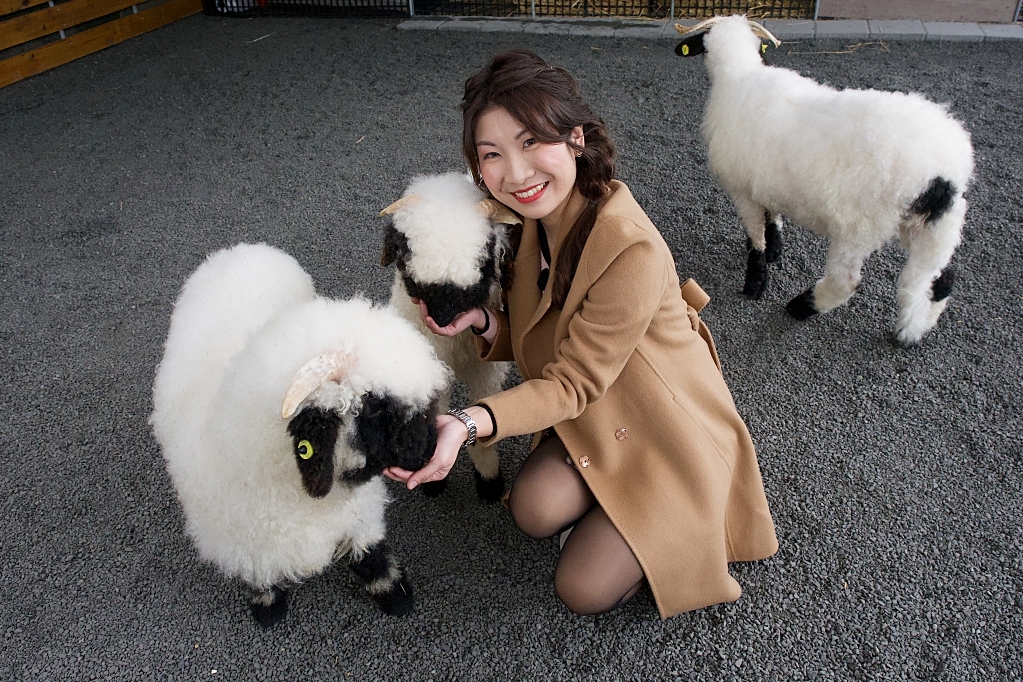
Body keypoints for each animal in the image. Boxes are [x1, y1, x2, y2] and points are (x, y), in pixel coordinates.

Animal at [150, 244, 448, 629]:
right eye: (376, 409)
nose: (434, 449)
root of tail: (241, 249)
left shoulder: (358, 514)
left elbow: (371, 554)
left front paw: (395, 595)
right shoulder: (247, 546)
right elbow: (261, 576)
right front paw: (268, 608)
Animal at [378, 170, 519, 501]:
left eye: (484, 263)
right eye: (406, 257)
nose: (441, 320)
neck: (457, 347)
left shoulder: (489, 370)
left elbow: (482, 410)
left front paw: (489, 480)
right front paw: (431, 477)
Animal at [675, 14, 969, 347]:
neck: (740, 75)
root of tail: (941, 176)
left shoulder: (742, 190)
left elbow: (755, 237)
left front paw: (755, 282)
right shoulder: (766, 180)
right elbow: (772, 217)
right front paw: (776, 248)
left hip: (859, 229)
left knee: (846, 282)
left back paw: (801, 306)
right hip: (935, 224)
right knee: (939, 278)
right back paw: (912, 330)